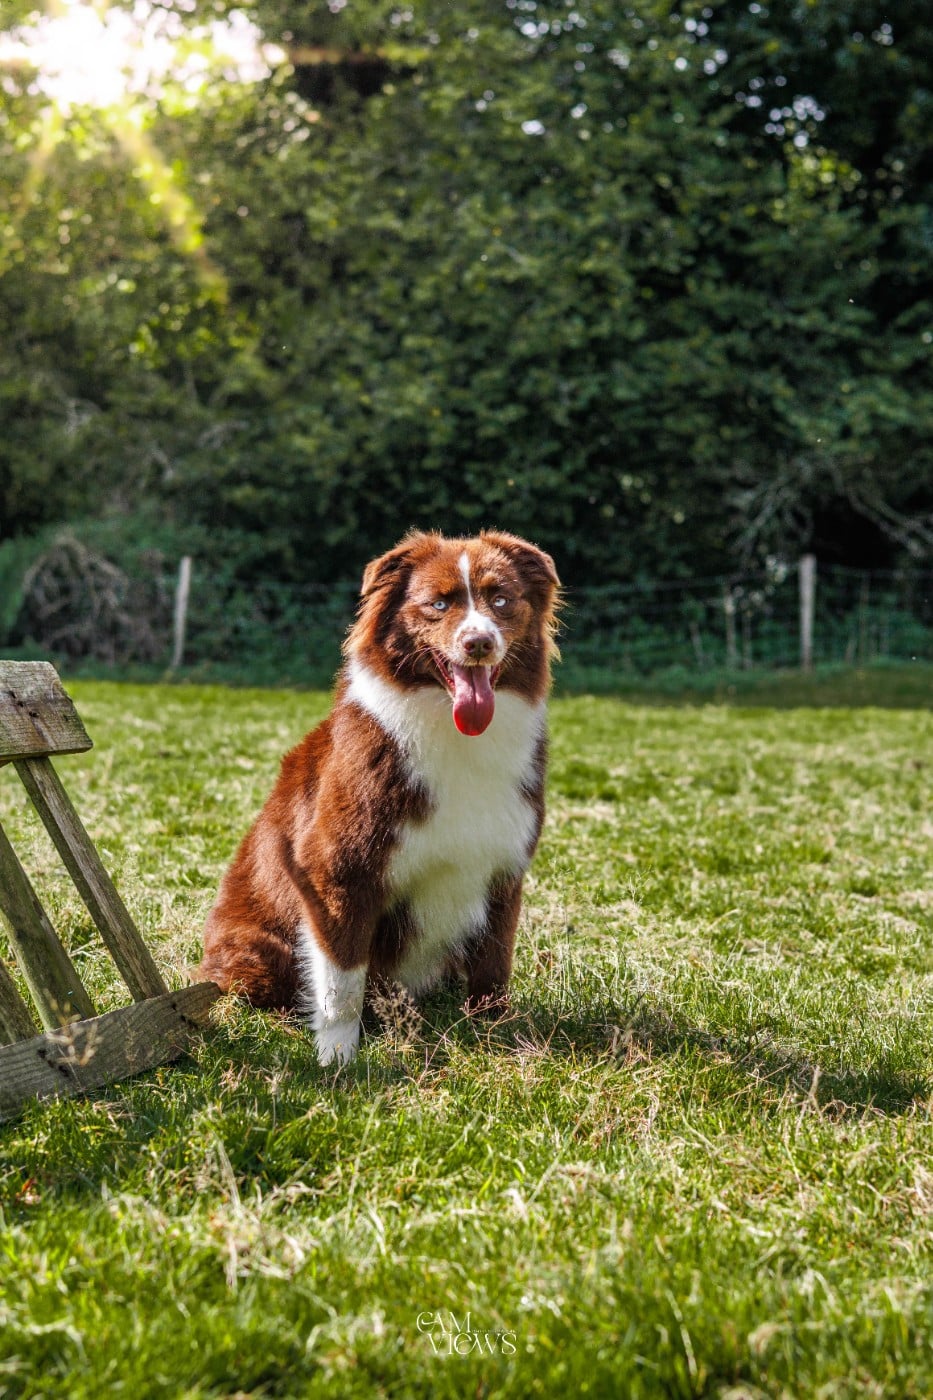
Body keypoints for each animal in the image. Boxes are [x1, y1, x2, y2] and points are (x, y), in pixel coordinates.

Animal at [199, 529, 560, 1065]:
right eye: (438, 603)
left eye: (500, 600)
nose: (479, 642)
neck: (452, 730)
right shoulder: (338, 871)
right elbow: (342, 982)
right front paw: (337, 1059)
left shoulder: (503, 868)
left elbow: (494, 966)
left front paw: (498, 1038)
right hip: (255, 950)